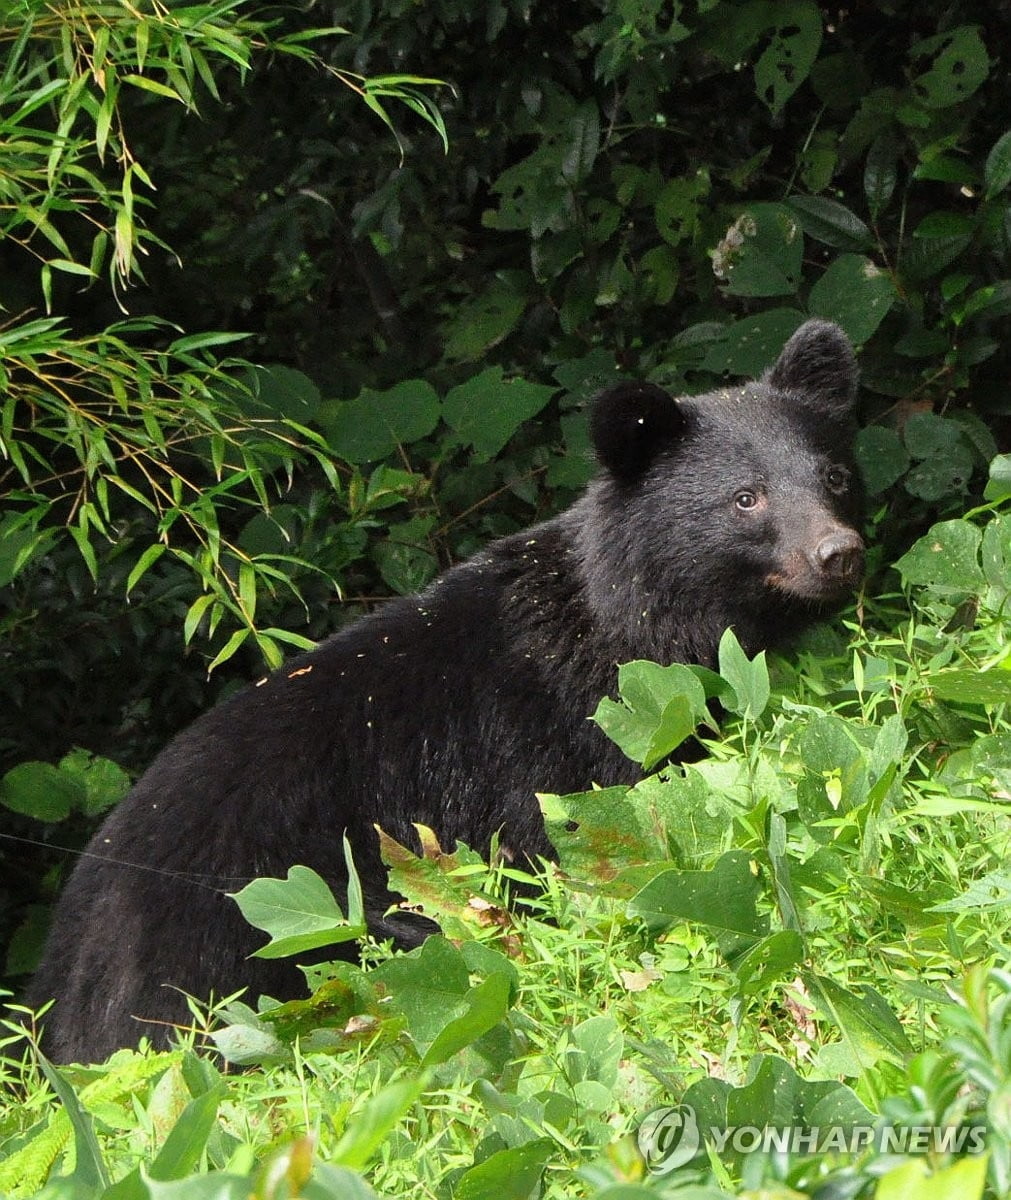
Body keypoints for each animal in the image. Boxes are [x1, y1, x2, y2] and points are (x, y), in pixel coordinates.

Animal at [25, 319, 859, 1060]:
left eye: (833, 476)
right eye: (745, 498)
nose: (838, 552)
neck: (639, 624)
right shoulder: (549, 740)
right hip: (254, 941)